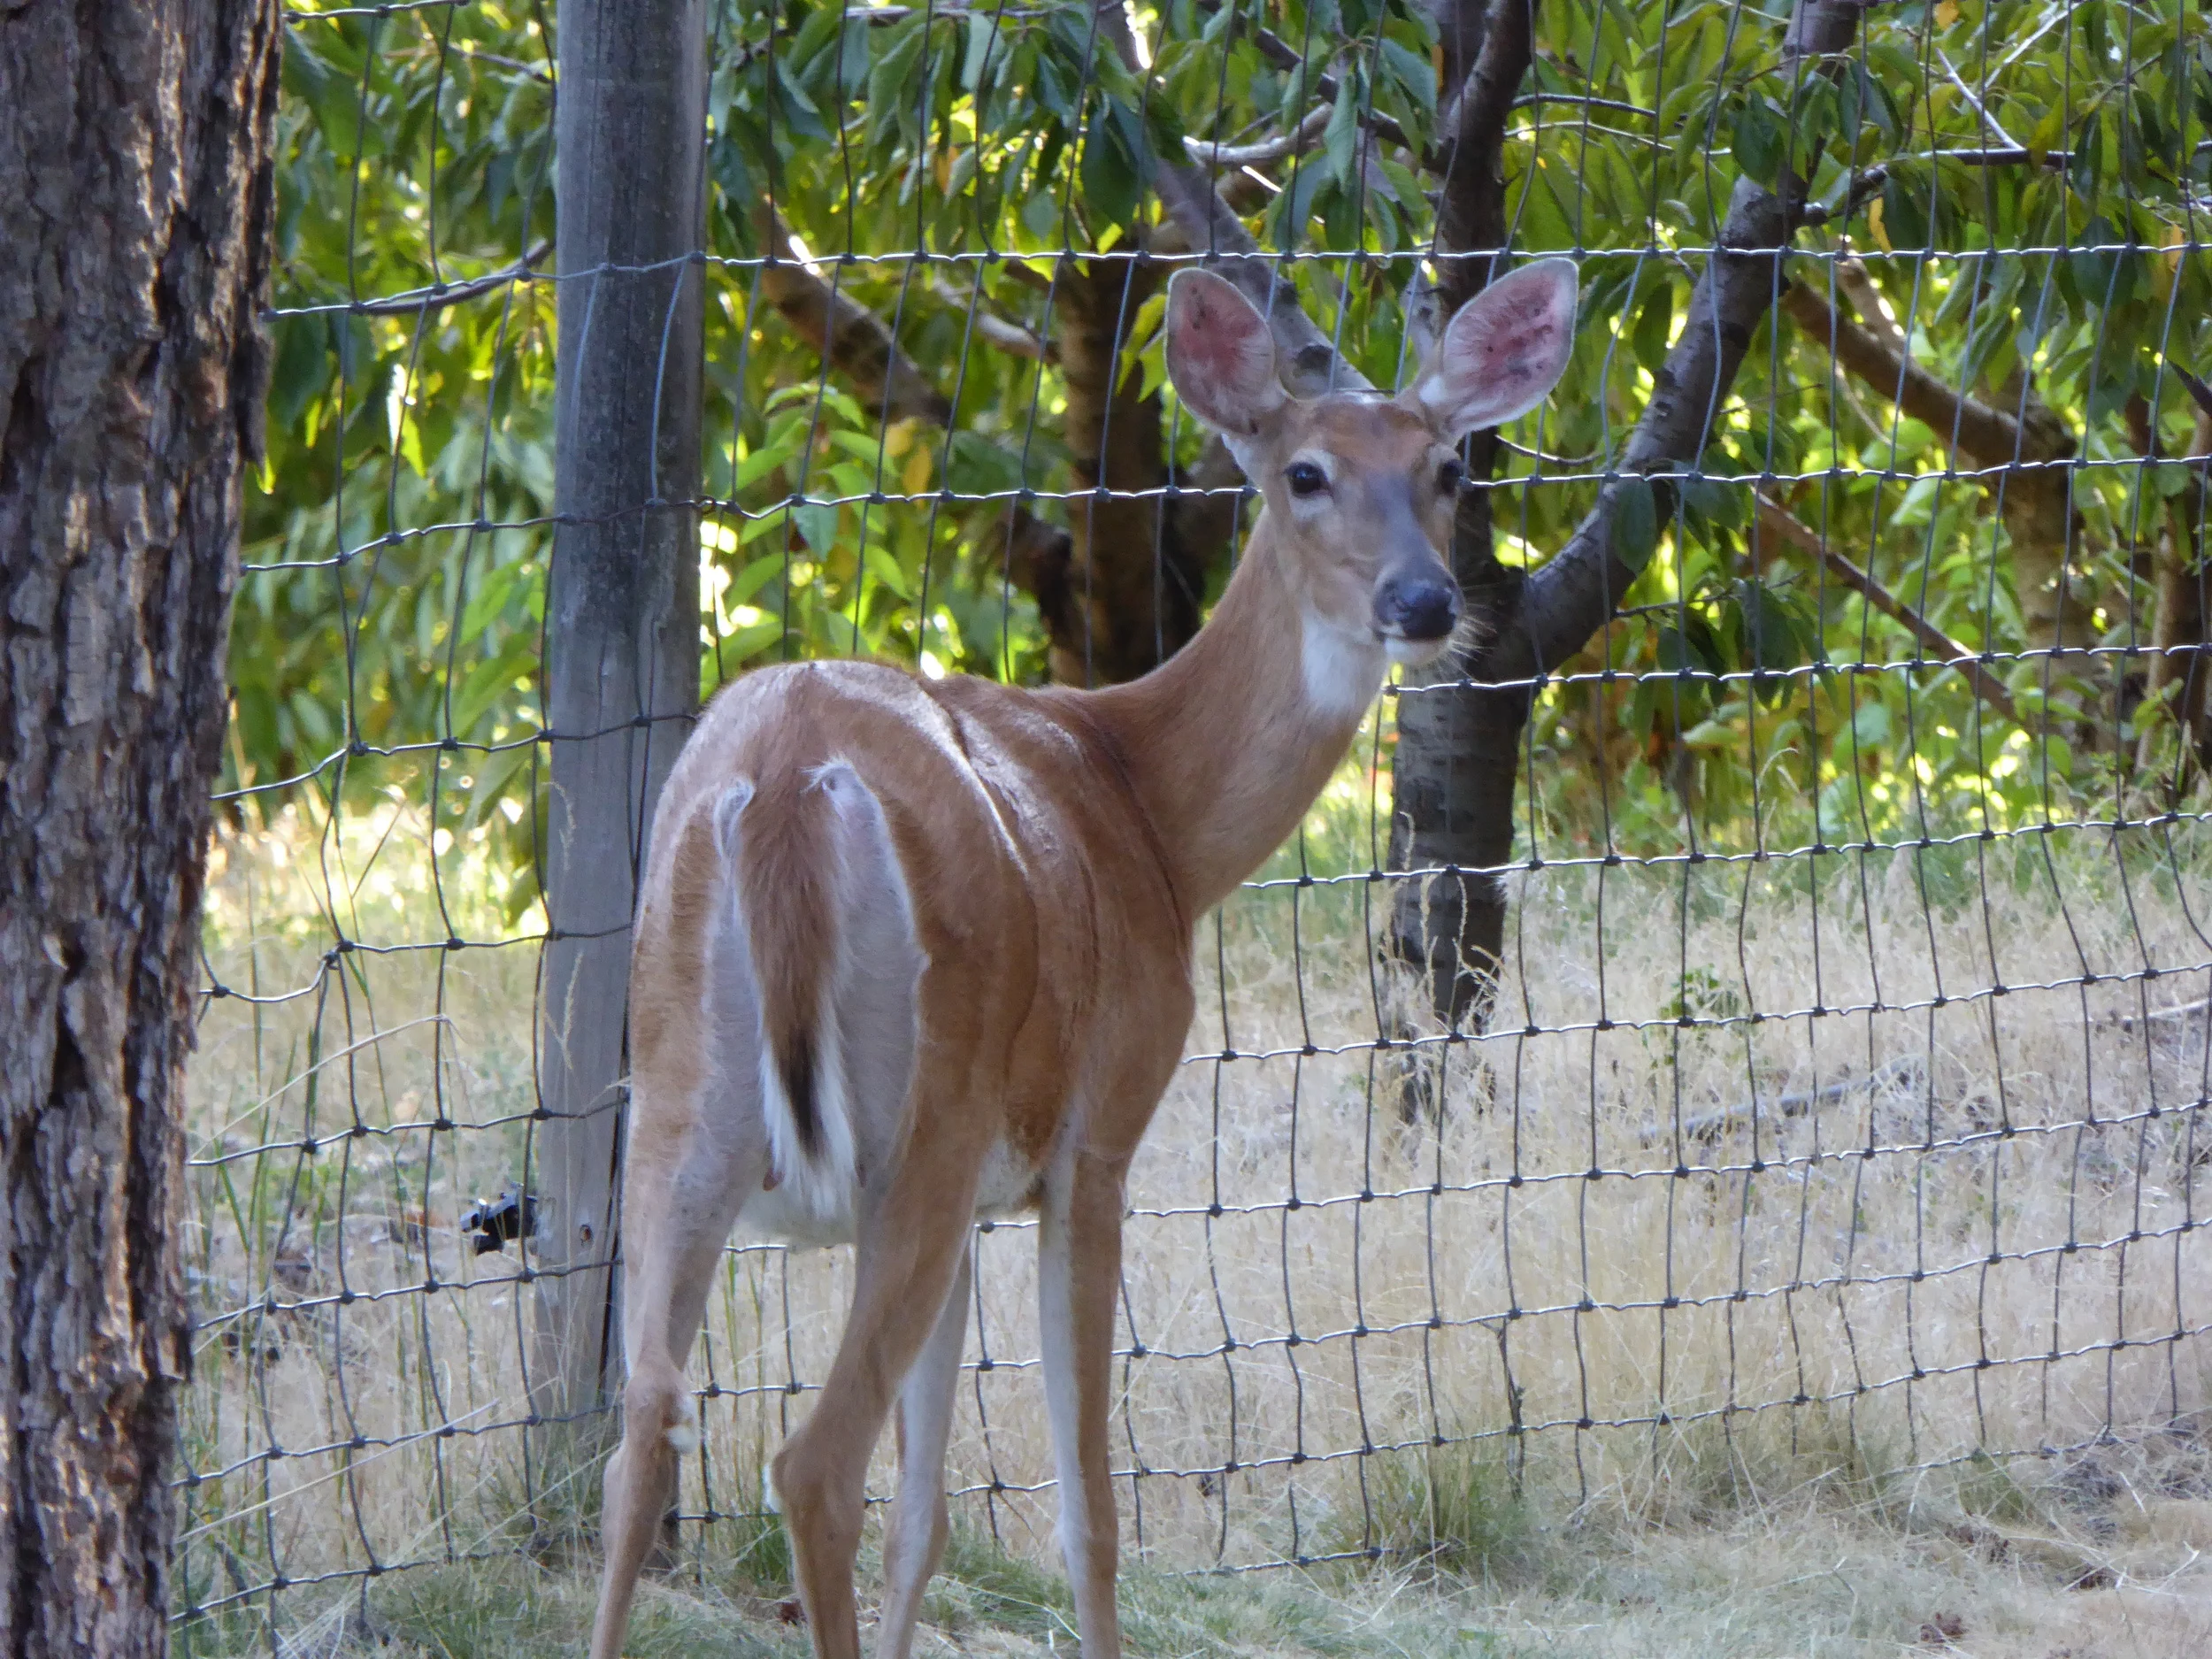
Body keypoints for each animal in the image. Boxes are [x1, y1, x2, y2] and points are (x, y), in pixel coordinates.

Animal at [587, 256, 1578, 1659]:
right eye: (1305, 471)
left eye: (1447, 466)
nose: (1425, 601)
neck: (1149, 813)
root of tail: (783, 780)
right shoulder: (1095, 1138)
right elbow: (1088, 1514)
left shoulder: (973, 1200)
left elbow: (928, 1516)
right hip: (924, 1112)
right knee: (811, 1462)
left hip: (683, 1104)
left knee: (642, 1440)